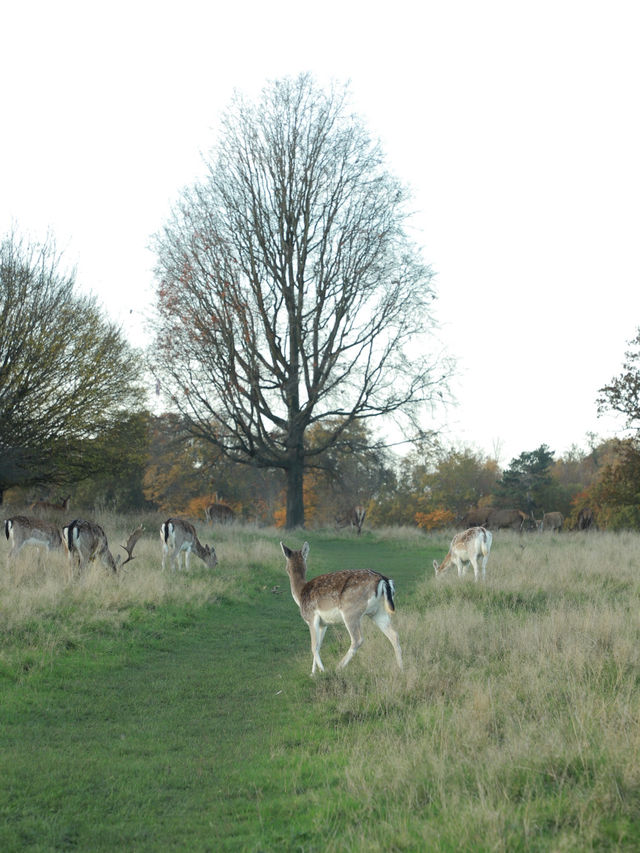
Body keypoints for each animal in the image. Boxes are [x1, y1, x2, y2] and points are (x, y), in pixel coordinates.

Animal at [280, 541, 403, 675]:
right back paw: (401, 668)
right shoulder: (324, 624)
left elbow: (313, 646)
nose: (286, 570)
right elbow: (318, 646)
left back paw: (338, 667)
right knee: (394, 635)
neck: (300, 594)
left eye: (286, 567)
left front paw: (322, 671)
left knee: (358, 639)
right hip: (378, 612)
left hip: (351, 611)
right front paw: (313, 673)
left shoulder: (311, 617)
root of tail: (383, 580)